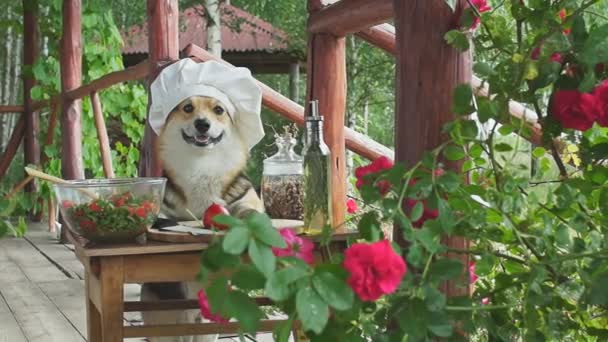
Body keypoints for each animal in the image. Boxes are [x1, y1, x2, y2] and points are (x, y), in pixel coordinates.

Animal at [142, 95, 266, 342]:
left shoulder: (247, 200)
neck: (202, 165)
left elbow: (248, 210)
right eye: (188, 108)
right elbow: (163, 216)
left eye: (219, 110)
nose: (202, 124)